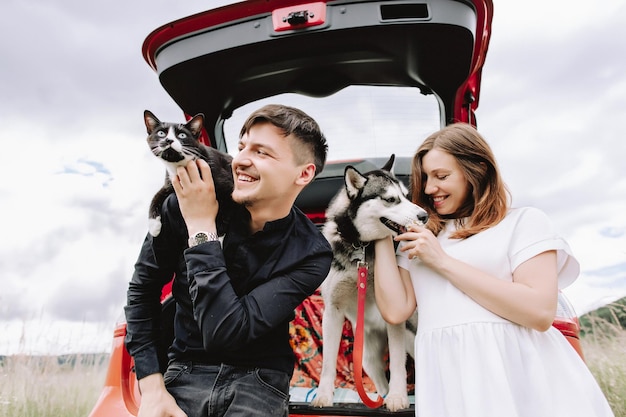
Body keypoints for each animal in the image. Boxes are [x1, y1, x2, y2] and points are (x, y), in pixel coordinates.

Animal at [310, 154, 426, 412]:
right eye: (390, 199)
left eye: (406, 195)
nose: (424, 216)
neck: (361, 248)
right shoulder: (332, 311)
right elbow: (328, 362)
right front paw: (323, 396)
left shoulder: (394, 316)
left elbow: (397, 363)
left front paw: (398, 398)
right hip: (365, 356)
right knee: (378, 376)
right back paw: (380, 397)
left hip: (410, 337)